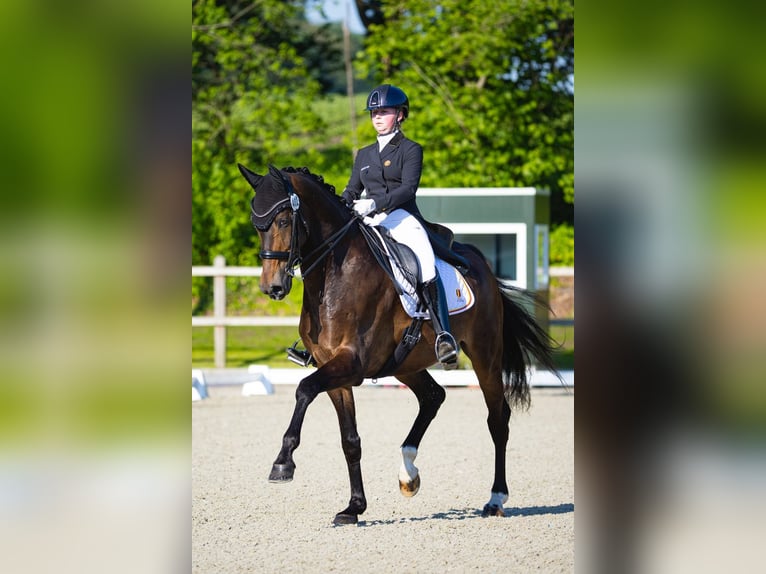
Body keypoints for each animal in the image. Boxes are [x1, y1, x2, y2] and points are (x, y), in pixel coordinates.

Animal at [237, 162, 560, 528]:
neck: (334, 276)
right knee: (433, 397)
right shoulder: (334, 369)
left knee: (497, 419)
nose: (272, 287)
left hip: (485, 354)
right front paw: (354, 507)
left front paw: (283, 462)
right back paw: (408, 473)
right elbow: (350, 440)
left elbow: (304, 389)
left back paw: (495, 498)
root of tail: (483, 265)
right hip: (406, 363)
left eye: (282, 221)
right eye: (256, 225)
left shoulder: (351, 363)